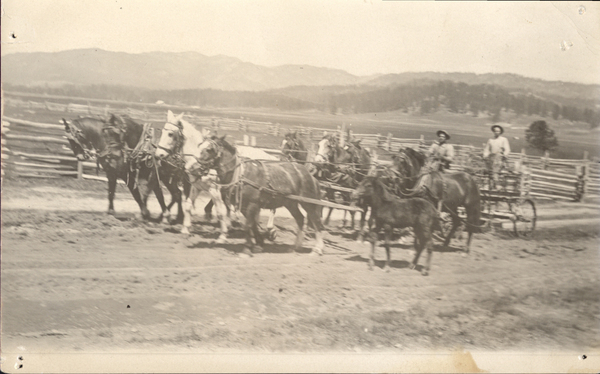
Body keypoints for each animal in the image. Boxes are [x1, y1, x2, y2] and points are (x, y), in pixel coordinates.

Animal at [193, 136, 324, 256]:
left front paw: (246, 249)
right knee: (300, 219)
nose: (193, 167)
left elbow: (248, 226)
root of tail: (310, 175)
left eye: (209, 149)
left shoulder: (252, 204)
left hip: (309, 203)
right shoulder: (245, 207)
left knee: (316, 222)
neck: (242, 175)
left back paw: (317, 249)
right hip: (291, 204)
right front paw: (258, 244)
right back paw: (295, 247)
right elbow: (252, 225)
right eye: (199, 145)